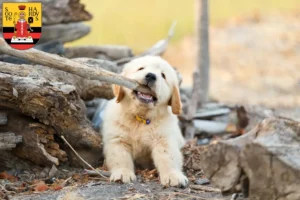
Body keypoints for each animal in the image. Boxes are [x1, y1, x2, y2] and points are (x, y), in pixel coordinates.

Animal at [102, 55, 188, 187]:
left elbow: (168, 157)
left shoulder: (164, 139)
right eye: (141, 68)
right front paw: (123, 173)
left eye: (163, 75)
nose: (151, 76)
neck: (140, 118)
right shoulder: (117, 139)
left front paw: (173, 175)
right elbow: (120, 157)